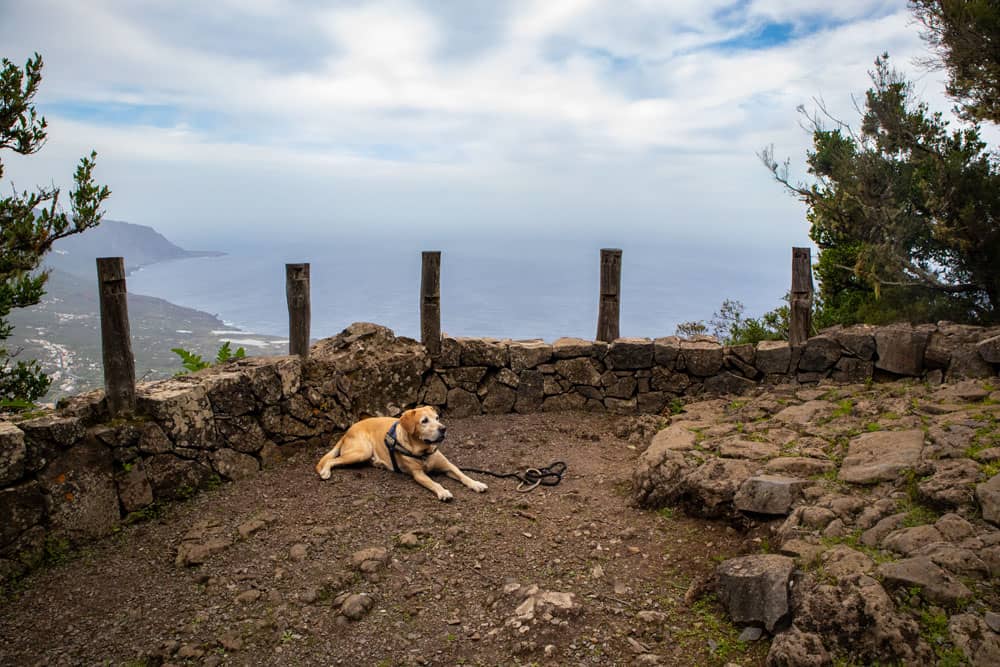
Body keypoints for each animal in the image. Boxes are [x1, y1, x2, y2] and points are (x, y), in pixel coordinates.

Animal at [312, 408, 484, 500]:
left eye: (437, 418)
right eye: (424, 421)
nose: (443, 428)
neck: (423, 451)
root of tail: (347, 432)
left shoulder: (448, 465)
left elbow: (463, 475)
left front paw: (476, 483)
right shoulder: (418, 474)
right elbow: (433, 483)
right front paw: (442, 492)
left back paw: (378, 463)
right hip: (361, 451)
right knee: (331, 461)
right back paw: (325, 472)